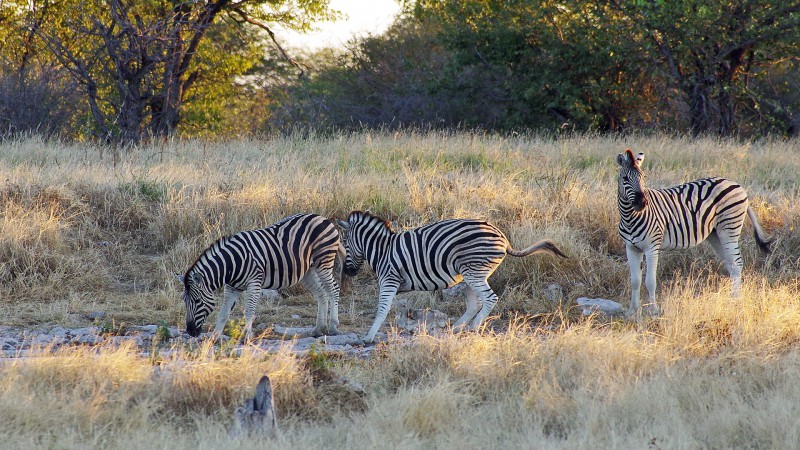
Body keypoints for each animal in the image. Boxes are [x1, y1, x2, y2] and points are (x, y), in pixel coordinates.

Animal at [178, 213, 344, 340]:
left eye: (197, 301)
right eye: (184, 301)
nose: (190, 332)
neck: (231, 265)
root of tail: (322, 217)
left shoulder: (254, 282)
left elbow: (249, 310)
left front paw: (247, 336)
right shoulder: (231, 287)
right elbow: (223, 312)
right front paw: (215, 336)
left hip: (324, 261)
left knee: (333, 289)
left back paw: (333, 326)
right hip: (307, 271)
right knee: (321, 293)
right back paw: (318, 329)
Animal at [338, 210, 568, 342]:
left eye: (346, 243)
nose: (348, 272)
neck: (382, 249)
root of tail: (503, 238)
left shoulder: (389, 278)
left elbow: (382, 308)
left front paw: (369, 336)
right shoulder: (397, 284)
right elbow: (394, 308)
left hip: (473, 271)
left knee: (489, 298)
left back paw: (474, 327)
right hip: (471, 274)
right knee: (475, 304)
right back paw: (457, 329)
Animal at [612, 149, 776, 314]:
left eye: (643, 177)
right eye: (625, 178)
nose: (642, 203)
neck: (630, 217)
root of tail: (737, 185)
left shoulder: (652, 247)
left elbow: (650, 281)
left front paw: (654, 311)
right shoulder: (631, 248)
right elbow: (635, 281)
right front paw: (632, 310)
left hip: (729, 229)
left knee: (736, 264)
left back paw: (735, 301)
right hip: (715, 235)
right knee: (730, 264)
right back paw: (731, 298)